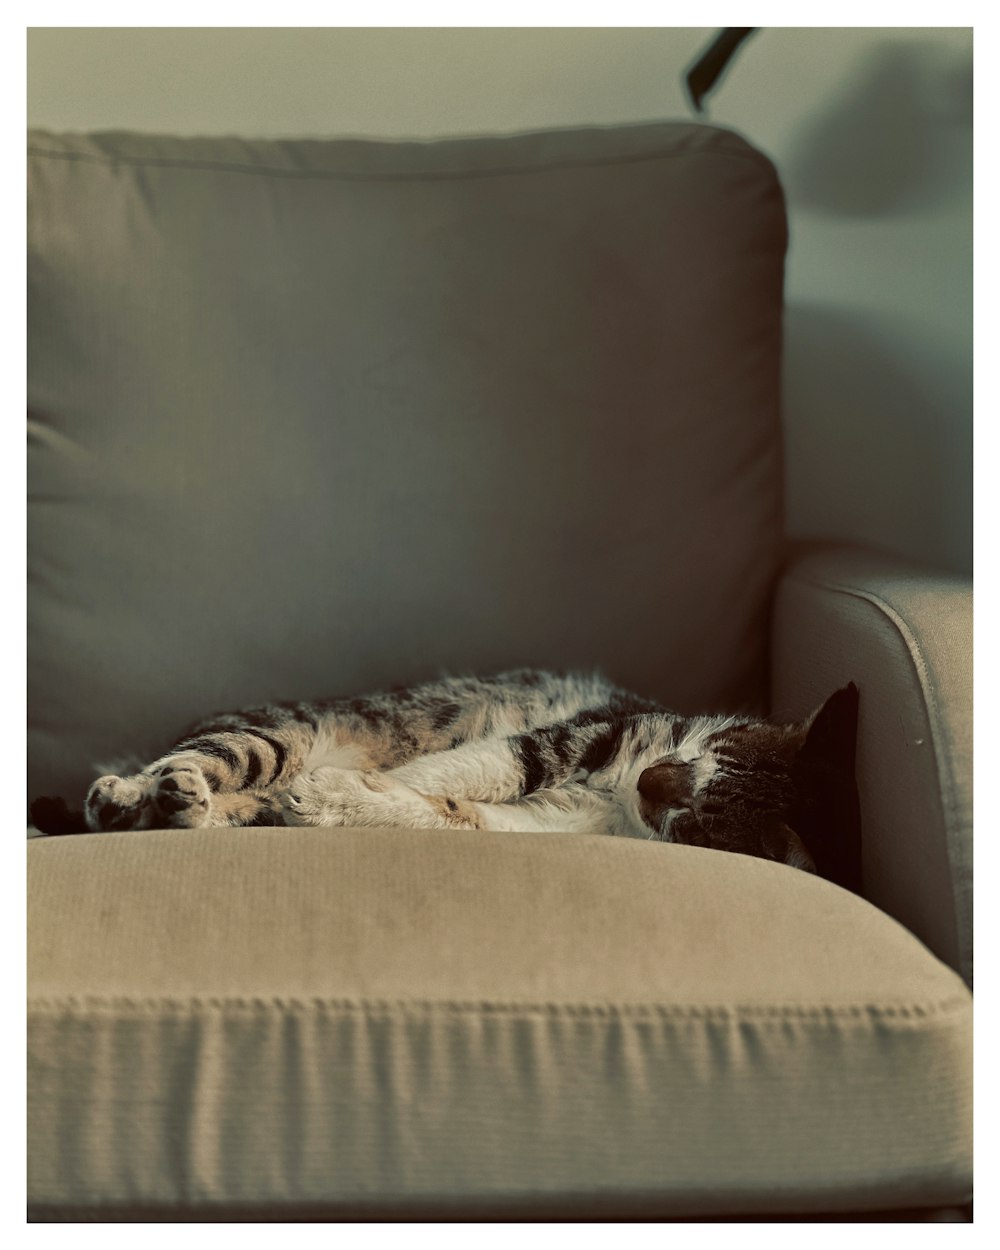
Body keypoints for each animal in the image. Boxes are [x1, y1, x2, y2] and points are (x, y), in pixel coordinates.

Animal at [29, 675, 860, 890]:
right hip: (270, 734)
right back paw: (139, 792)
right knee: (190, 762)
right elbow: (465, 769)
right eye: (698, 756)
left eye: (691, 821)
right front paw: (340, 790)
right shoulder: (575, 735)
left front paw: (338, 801)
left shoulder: (553, 823)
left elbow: (456, 812)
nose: (651, 783)